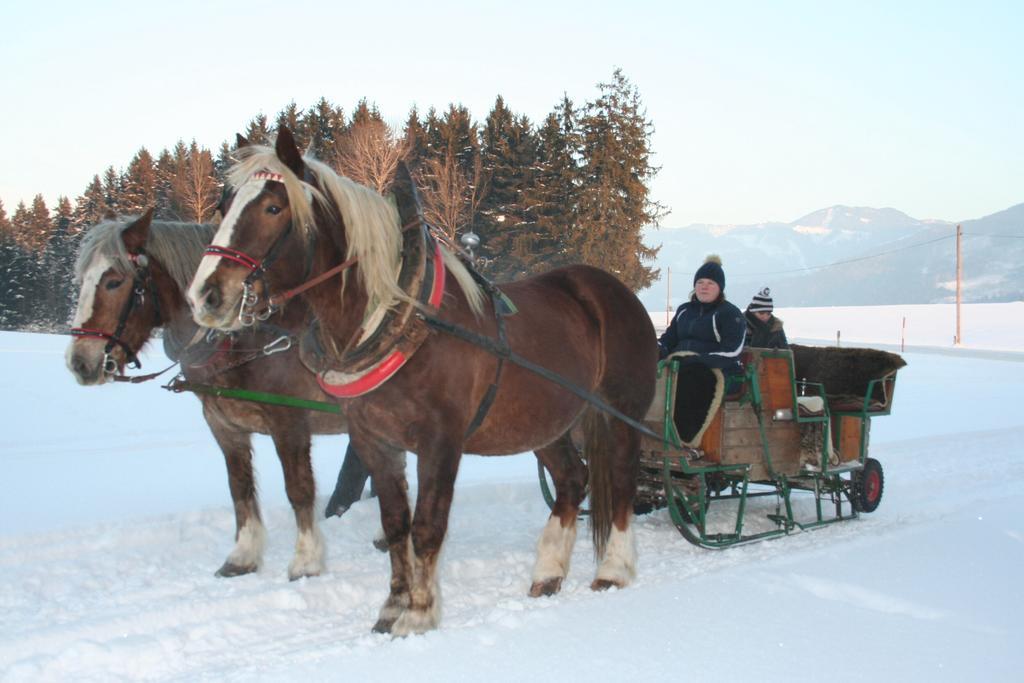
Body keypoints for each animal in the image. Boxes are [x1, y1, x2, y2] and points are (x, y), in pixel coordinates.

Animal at [187, 127, 655, 634]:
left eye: (274, 207)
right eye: (223, 205)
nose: (206, 295)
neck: (401, 319)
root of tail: (610, 288)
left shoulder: (441, 440)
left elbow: (428, 527)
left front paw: (420, 613)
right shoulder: (373, 439)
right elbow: (396, 525)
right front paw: (392, 607)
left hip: (622, 413)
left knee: (622, 482)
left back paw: (614, 569)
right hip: (545, 422)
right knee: (573, 479)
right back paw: (548, 573)